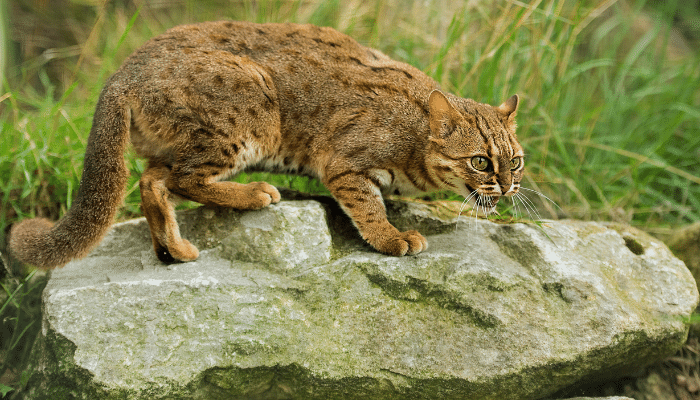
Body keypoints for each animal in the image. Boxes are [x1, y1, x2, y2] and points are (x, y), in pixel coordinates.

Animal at [5, 19, 524, 268]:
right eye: (481, 162)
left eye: (515, 163)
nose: (507, 187)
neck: (416, 135)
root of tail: (121, 72)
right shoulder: (343, 162)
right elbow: (369, 206)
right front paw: (391, 238)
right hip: (252, 112)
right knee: (180, 178)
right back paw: (253, 194)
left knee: (151, 181)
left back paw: (174, 249)